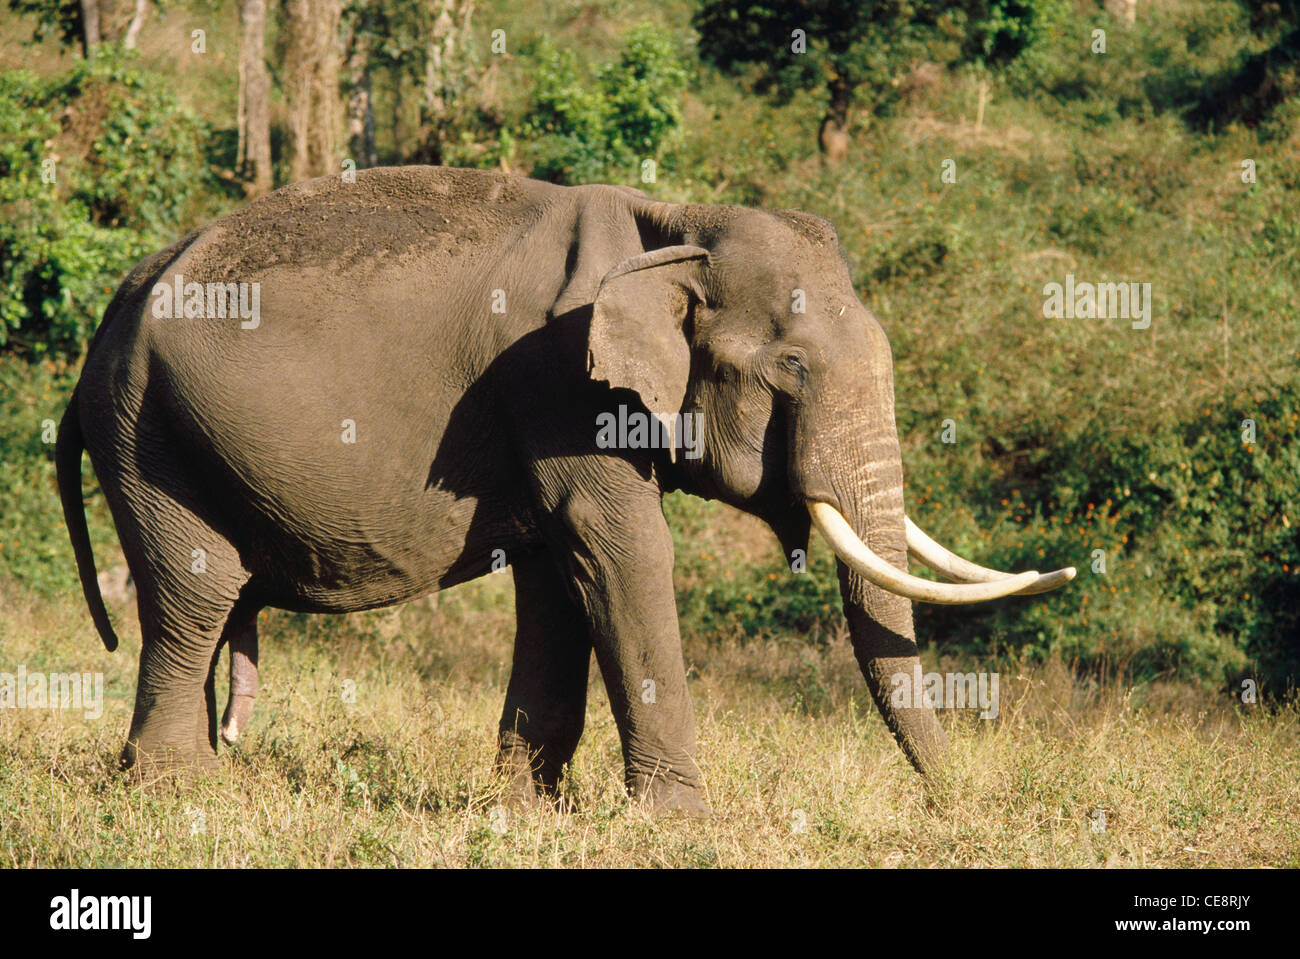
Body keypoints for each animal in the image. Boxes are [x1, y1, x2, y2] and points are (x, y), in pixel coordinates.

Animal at [58, 164, 1076, 816]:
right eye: (790, 367)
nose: (955, 804)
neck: (674, 220)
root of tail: (114, 308)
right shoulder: (558, 382)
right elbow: (622, 551)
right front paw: (681, 825)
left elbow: (557, 575)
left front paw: (523, 808)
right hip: (148, 437)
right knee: (196, 593)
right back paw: (176, 792)